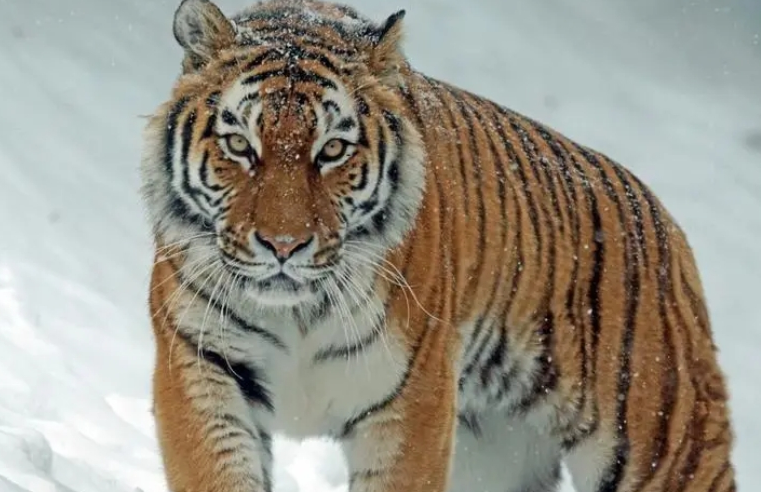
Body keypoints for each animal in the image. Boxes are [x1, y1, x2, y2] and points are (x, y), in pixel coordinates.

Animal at [139, 0, 737, 491]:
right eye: (240, 144)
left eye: (332, 150)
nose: (284, 246)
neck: (298, 313)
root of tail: (668, 227)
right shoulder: (201, 366)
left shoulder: (414, 401)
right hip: (495, 455)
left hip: (664, 446)